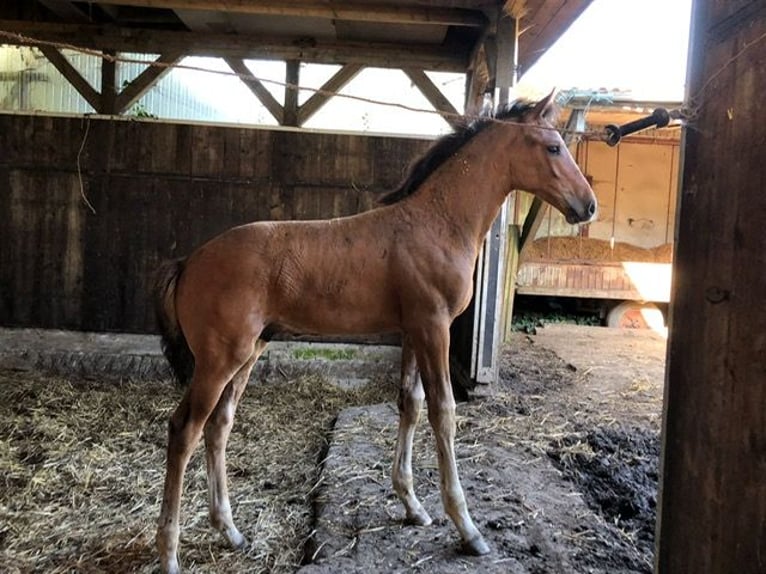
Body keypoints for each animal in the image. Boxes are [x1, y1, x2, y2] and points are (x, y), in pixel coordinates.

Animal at [154, 92, 600, 572]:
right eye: (554, 147)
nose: (588, 205)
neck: (439, 222)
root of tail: (189, 262)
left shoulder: (413, 331)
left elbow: (411, 404)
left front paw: (413, 506)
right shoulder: (434, 327)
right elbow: (444, 412)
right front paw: (467, 528)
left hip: (249, 352)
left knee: (219, 426)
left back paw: (231, 531)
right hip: (219, 360)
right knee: (184, 429)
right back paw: (169, 554)